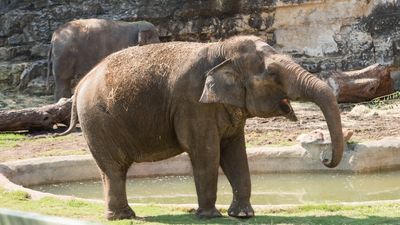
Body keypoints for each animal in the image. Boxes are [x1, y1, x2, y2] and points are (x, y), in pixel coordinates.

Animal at [59, 35, 344, 220]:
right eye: (273, 74)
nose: (325, 159)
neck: (220, 49)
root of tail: (80, 85)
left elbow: (235, 153)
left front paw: (243, 215)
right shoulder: (192, 103)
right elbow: (206, 152)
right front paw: (210, 216)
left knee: (113, 169)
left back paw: (124, 215)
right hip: (97, 122)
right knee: (113, 168)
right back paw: (122, 217)